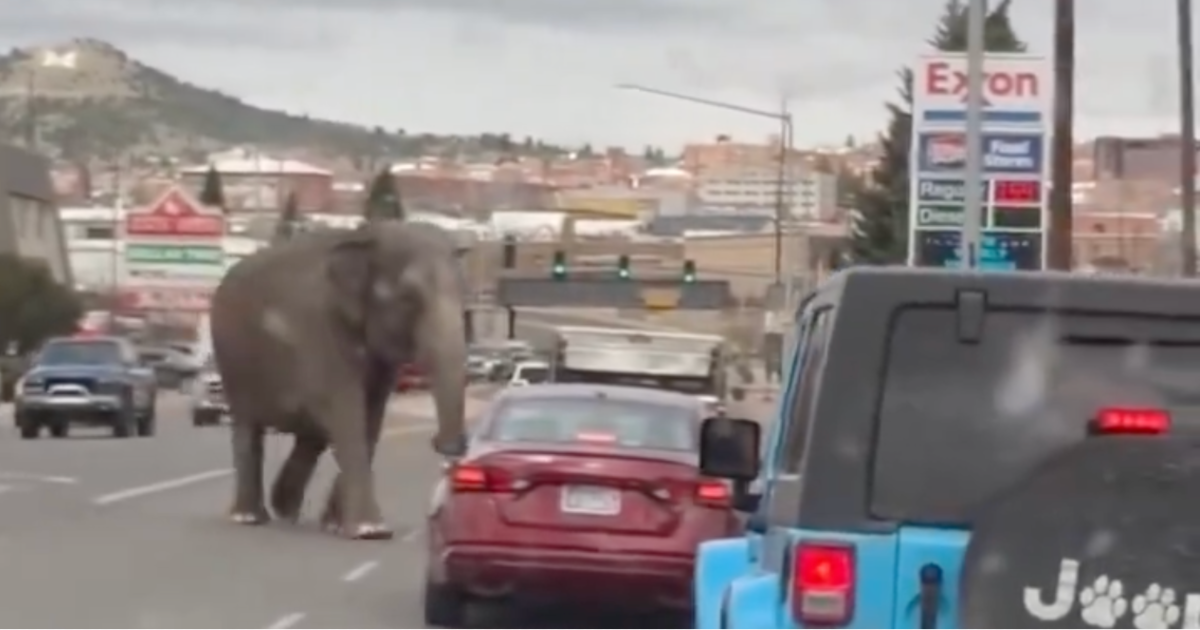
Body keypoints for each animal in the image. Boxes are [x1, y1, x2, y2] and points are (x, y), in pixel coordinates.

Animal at [206, 218, 468, 537]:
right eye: (408, 298)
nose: (447, 447)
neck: (366, 237)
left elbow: (369, 418)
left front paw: (338, 525)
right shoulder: (321, 328)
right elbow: (346, 412)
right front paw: (371, 530)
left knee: (310, 436)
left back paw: (286, 510)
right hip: (233, 361)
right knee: (248, 426)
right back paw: (249, 517)